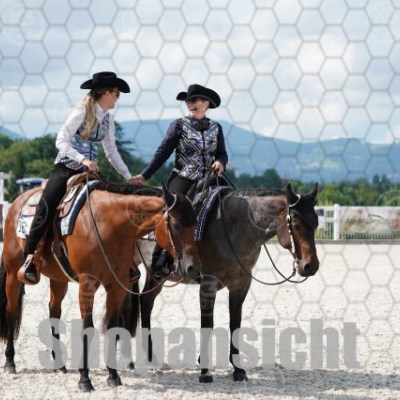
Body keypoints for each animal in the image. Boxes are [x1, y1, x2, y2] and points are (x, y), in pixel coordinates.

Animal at [0, 179, 200, 392]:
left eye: (196, 223)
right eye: (177, 224)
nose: (192, 267)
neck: (109, 225)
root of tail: (16, 202)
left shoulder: (116, 285)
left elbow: (113, 326)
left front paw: (113, 375)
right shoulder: (87, 284)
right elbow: (88, 327)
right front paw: (85, 379)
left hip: (58, 279)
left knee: (54, 311)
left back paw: (60, 365)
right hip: (13, 274)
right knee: (11, 311)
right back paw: (10, 362)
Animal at [138, 182, 320, 383]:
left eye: (316, 223)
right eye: (295, 224)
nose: (311, 266)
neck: (233, 230)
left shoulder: (241, 285)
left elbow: (235, 323)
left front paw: (238, 370)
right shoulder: (208, 284)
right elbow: (207, 324)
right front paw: (205, 371)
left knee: (145, 302)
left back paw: (150, 357)